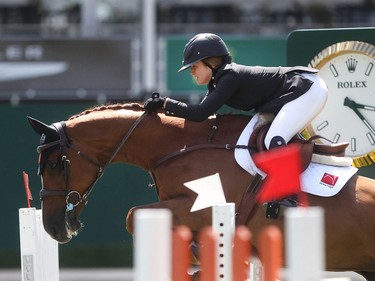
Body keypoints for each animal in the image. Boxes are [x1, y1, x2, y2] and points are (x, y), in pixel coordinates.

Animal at [27, 104, 375, 278]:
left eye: (56, 165)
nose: (53, 228)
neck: (177, 146)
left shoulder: (199, 207)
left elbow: (131, 215)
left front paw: (195, 255)